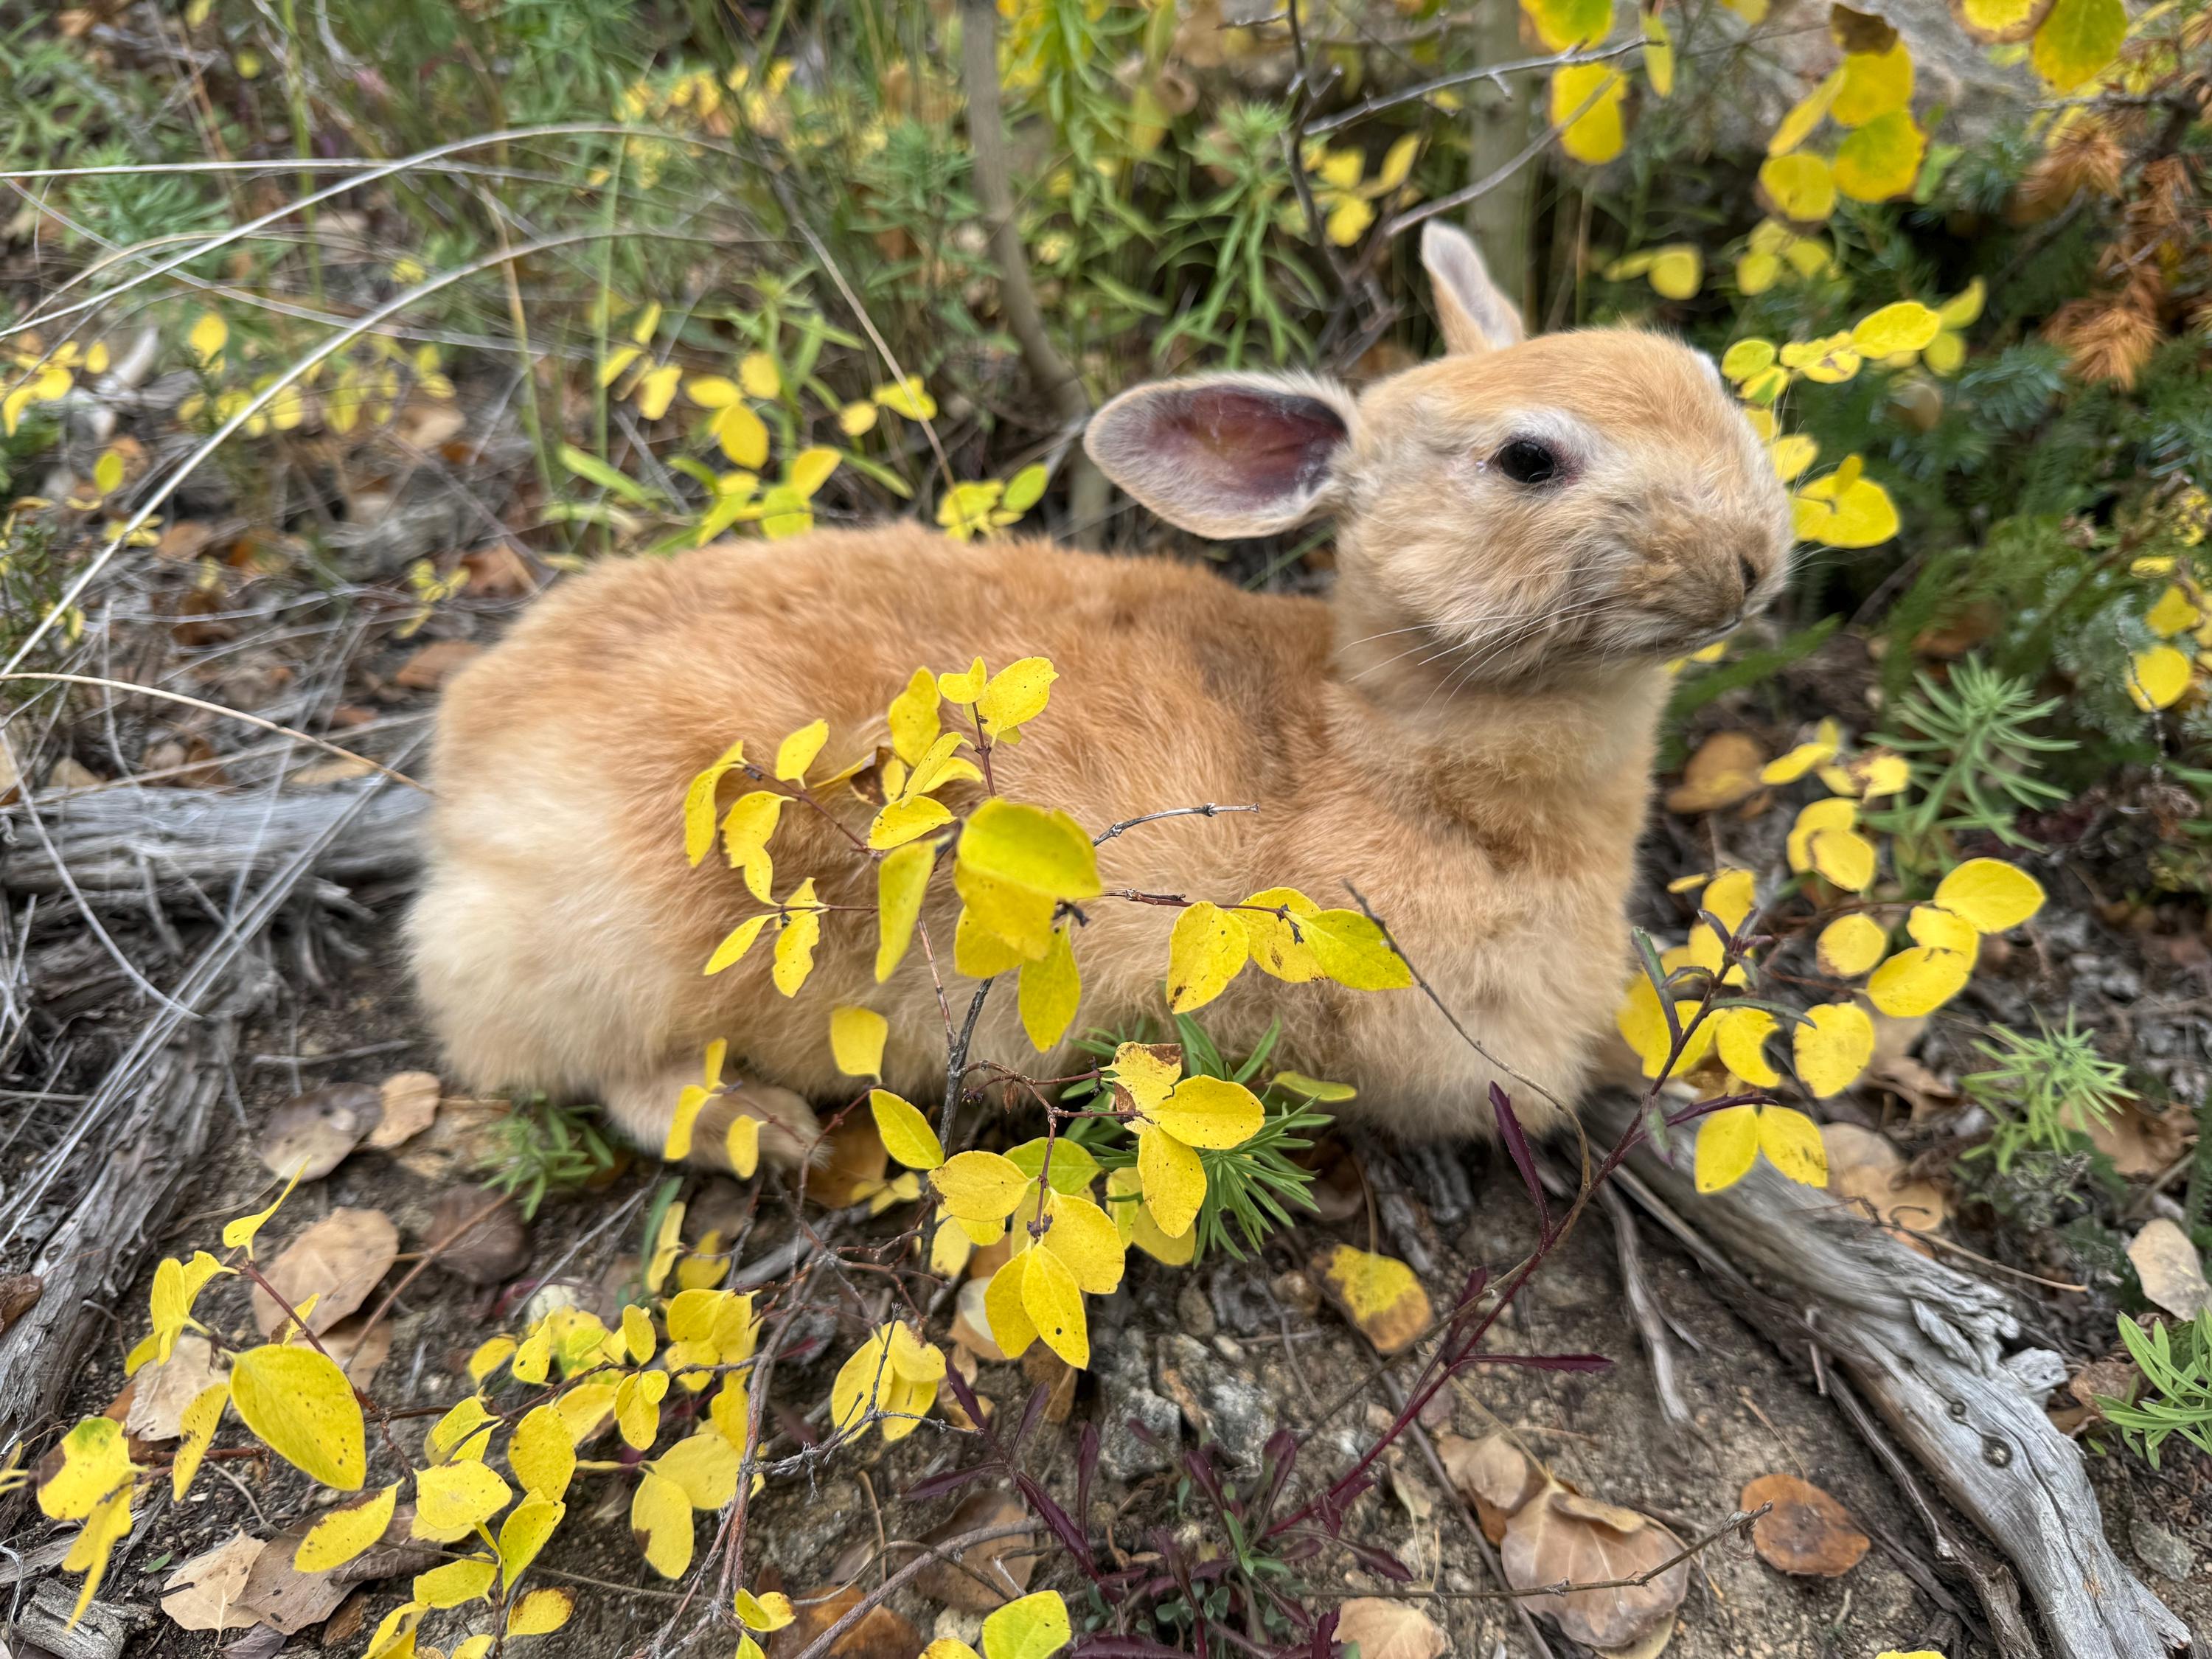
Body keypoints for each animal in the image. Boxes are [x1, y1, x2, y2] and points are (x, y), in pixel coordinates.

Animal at [406, 221, 1791, 1171]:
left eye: (1704, 375)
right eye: (1529, 461)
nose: (1750, 559)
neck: (1380, 729)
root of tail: (465, 765)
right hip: (640, 946)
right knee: (600, 1068)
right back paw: (756, 1125)